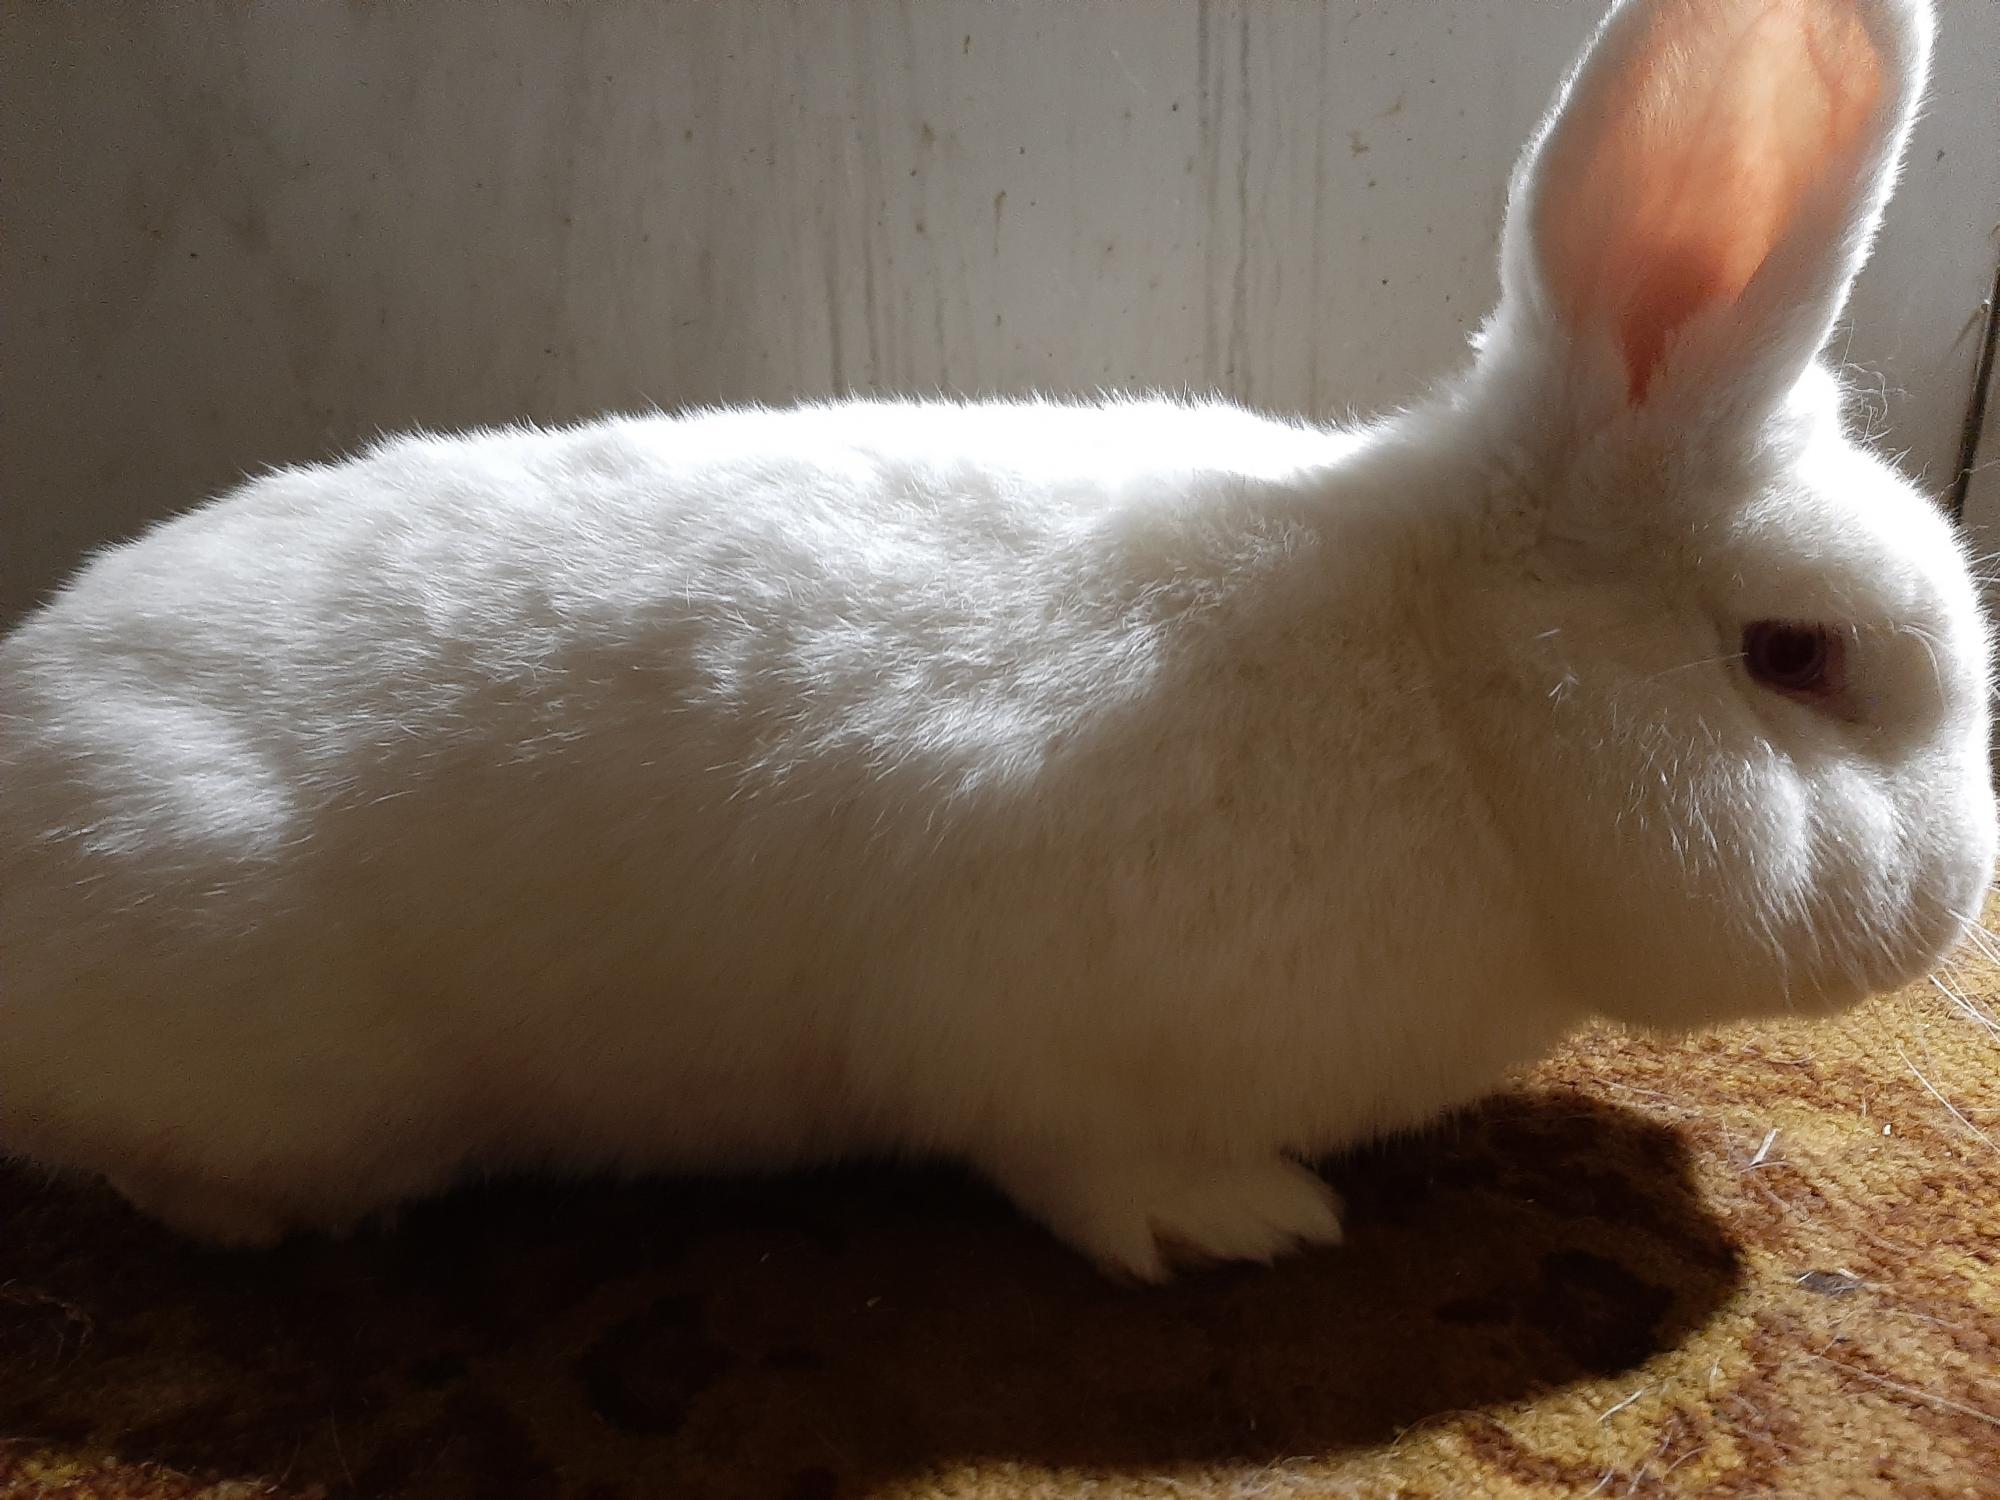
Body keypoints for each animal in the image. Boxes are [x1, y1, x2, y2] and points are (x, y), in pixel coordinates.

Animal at [0, 0, 1991, 1282]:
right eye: (1795, 656)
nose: (1960, 896)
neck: (1444, 697)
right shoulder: (1033, 1020)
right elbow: (1082, 1160)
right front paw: (1243, 1225)